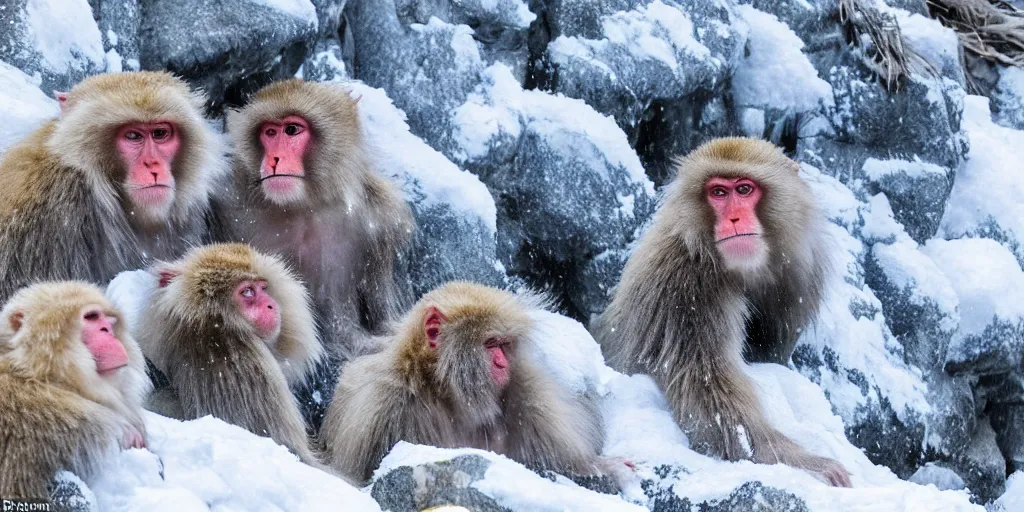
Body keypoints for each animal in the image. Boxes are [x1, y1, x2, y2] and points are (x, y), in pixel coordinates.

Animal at [319, 280, 606, 483]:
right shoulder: (383, 410)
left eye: (504, 344)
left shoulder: (530, 394)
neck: (444, 392)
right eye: (490, 344)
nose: (502, 364)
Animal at [593, 137, 847, 487]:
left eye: (744, 189)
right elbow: (709, 393)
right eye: (718, 193)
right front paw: (807, 463)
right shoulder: (685, 287)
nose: (734, 220)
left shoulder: (800, 273)